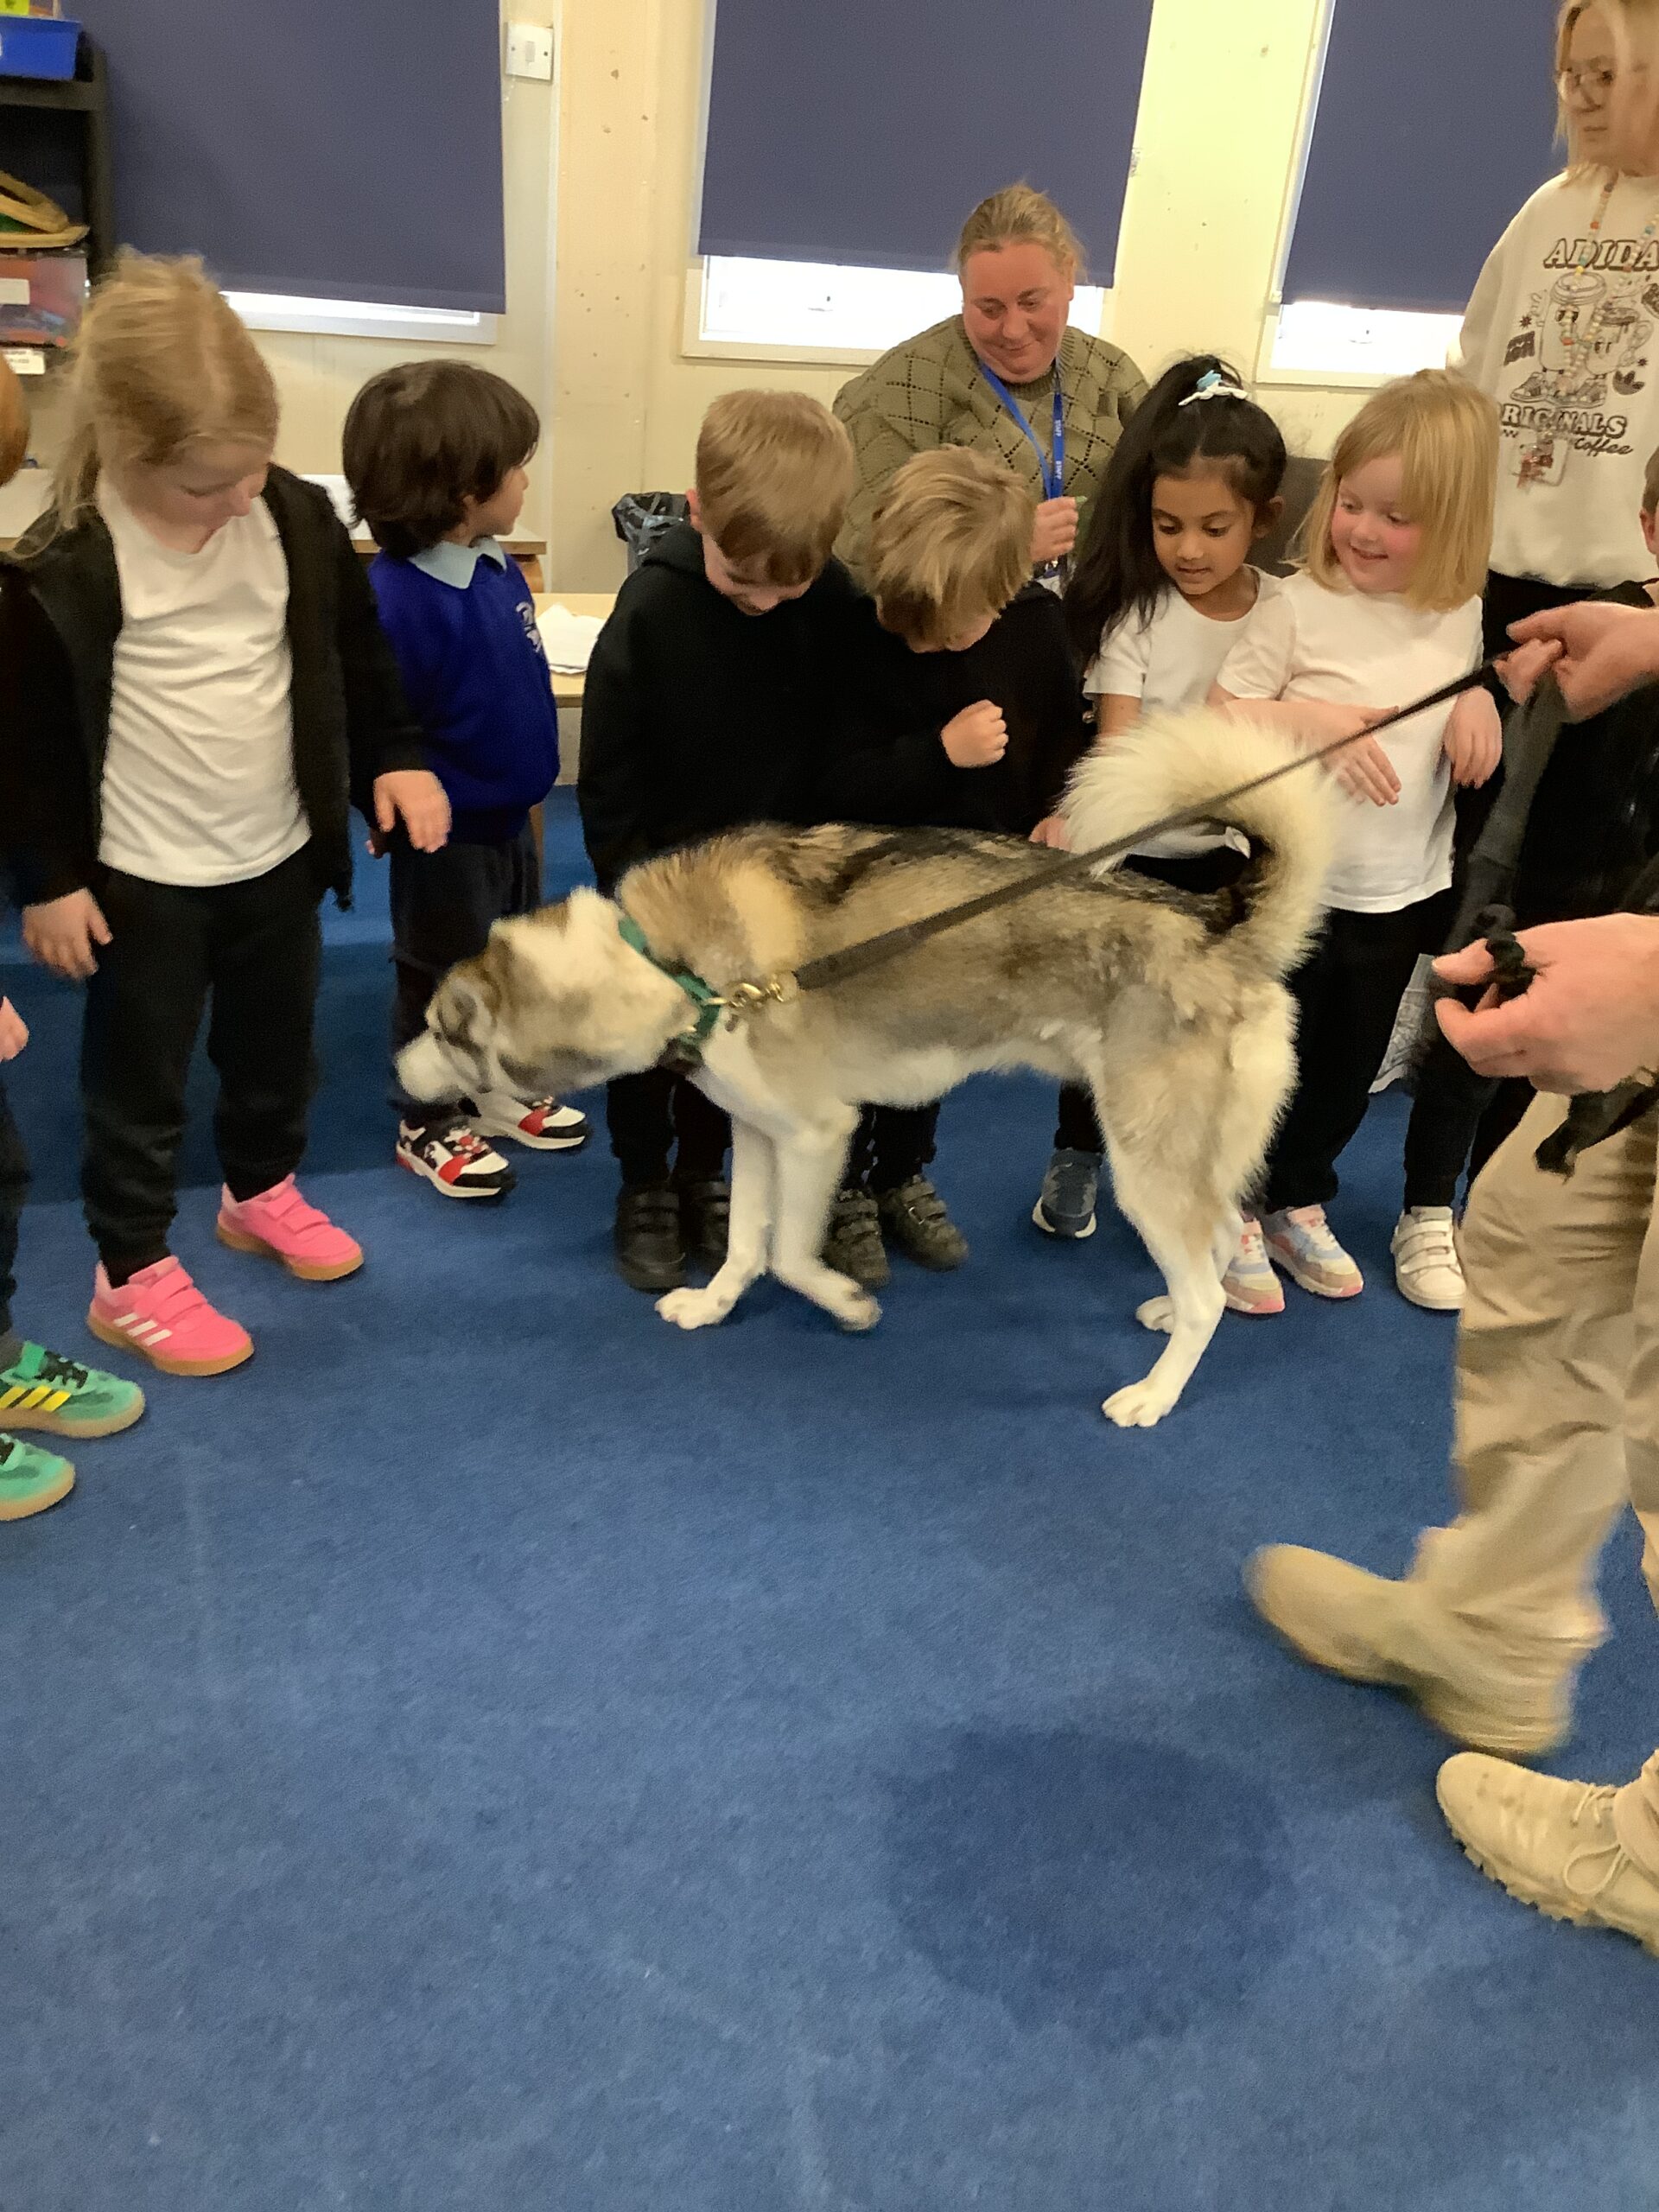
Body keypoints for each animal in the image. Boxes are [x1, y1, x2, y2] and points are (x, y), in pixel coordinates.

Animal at [399, 709, 1333, 1427]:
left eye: (440, 1031)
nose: (398, 1070)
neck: (664, 964)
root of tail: (1221, 928)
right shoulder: (759, 1132)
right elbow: (746, 1246)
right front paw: (712, 1305)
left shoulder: (819, 1134)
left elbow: (788, 1256)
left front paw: (847, 1304)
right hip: (1186, 1161)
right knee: (1219, 1239)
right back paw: (1169, 1313)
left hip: (1145, 1161)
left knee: (1208, 1281)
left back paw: (1154, 1394)